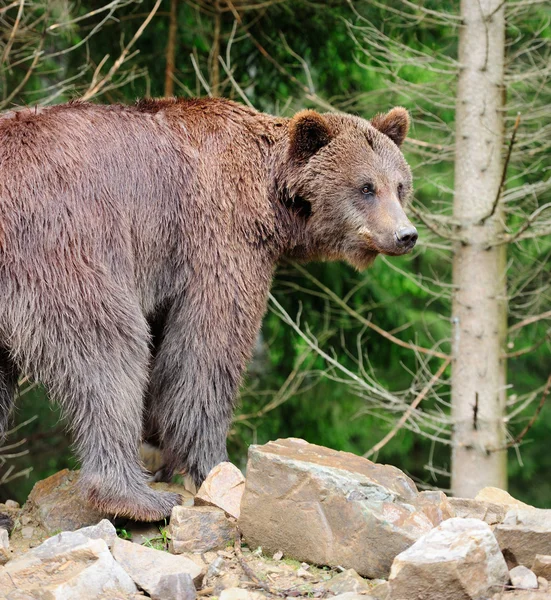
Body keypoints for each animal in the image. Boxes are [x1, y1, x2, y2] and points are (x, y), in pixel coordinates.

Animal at [0, 98, 416, 520]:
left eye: (401, 186)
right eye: (366, 187)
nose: (406, 235)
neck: (269, 200)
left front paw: (162, 455)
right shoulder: (214, 234)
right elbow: (207, 349)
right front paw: (214, 463)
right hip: (63, 242)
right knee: (109, 347)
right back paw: (135, 497)